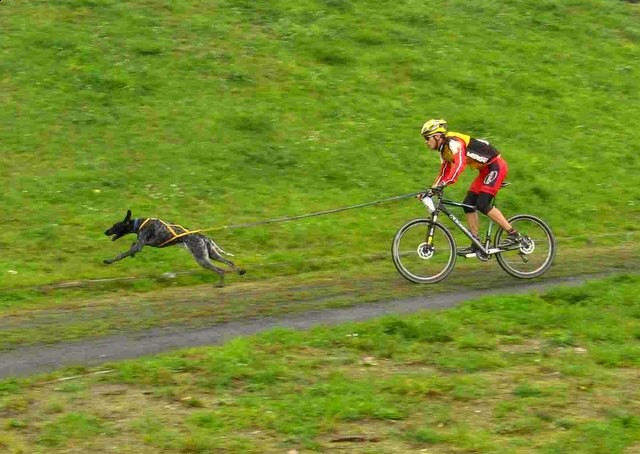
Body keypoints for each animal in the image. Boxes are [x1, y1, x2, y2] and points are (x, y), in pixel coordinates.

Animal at [104, 210, 246, 288]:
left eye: (115, 226)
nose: (105, 231)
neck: (139, 224)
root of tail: (204, 237)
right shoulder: (142, 244)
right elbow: (132, 245)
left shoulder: (142, 244)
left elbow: (122, 254)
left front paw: (109, 261)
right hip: (211, 255)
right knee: (229, 262)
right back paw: (240, 271)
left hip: (202, 259)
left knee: (220, 270)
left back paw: (220, 284)